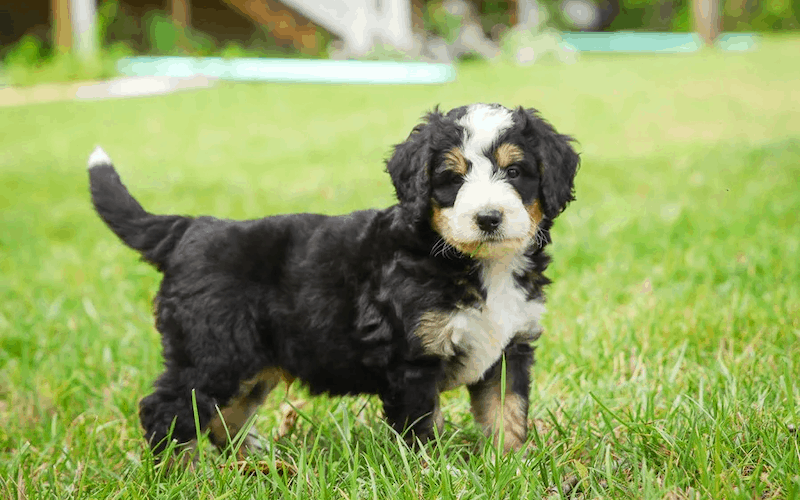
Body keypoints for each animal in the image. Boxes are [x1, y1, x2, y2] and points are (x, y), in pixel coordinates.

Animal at [87, 103, 580, 458]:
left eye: (514, 172)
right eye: (451, 178)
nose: (488, 218)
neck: (475, 264)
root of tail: (189, 229)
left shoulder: (510, 349)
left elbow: (507, 416)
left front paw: (511, 468)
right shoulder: (412, 361)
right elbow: (423, 430)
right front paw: (433, 474)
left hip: (249, 362)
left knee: (224, 416)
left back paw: (258, 460)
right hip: (211, 352)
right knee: (168, 410)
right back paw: (182, 471)